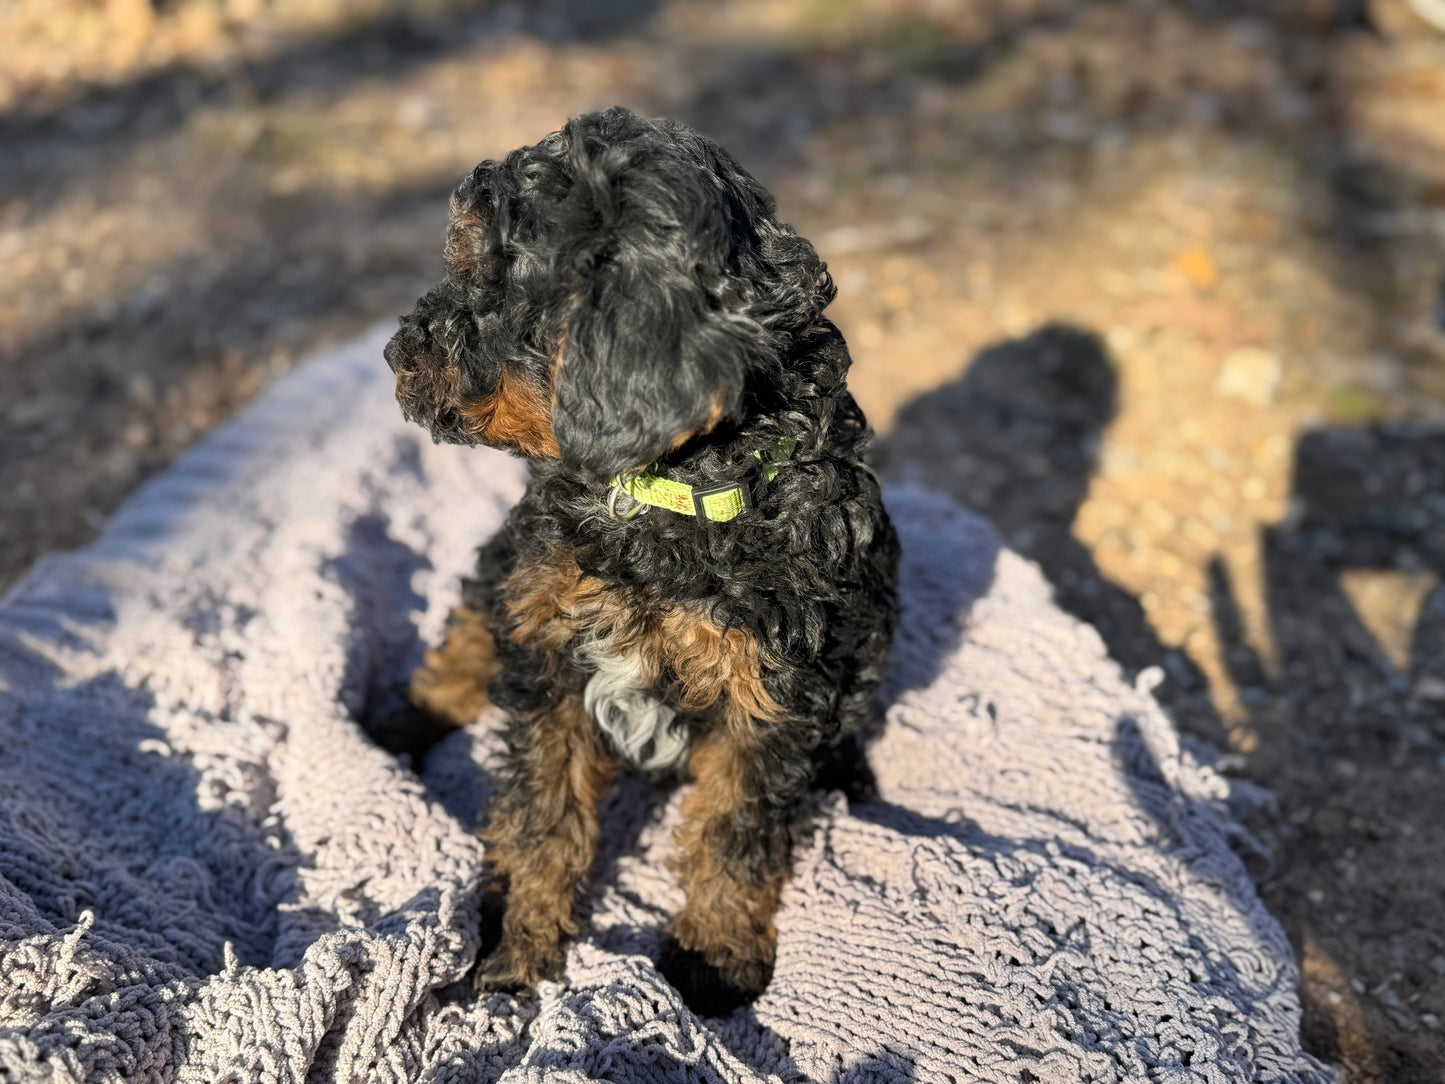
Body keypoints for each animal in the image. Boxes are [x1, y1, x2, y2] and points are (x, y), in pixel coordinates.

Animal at [384, 106, 901, 1017]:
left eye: (487, 281)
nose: (395, 355)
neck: (660, 496)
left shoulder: (773, 694)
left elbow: (735, 831)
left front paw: (713, 959)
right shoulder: (549, 649)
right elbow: (541, 820)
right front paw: (514, 958)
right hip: (506, 568)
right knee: (464, 636)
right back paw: (400, 722)